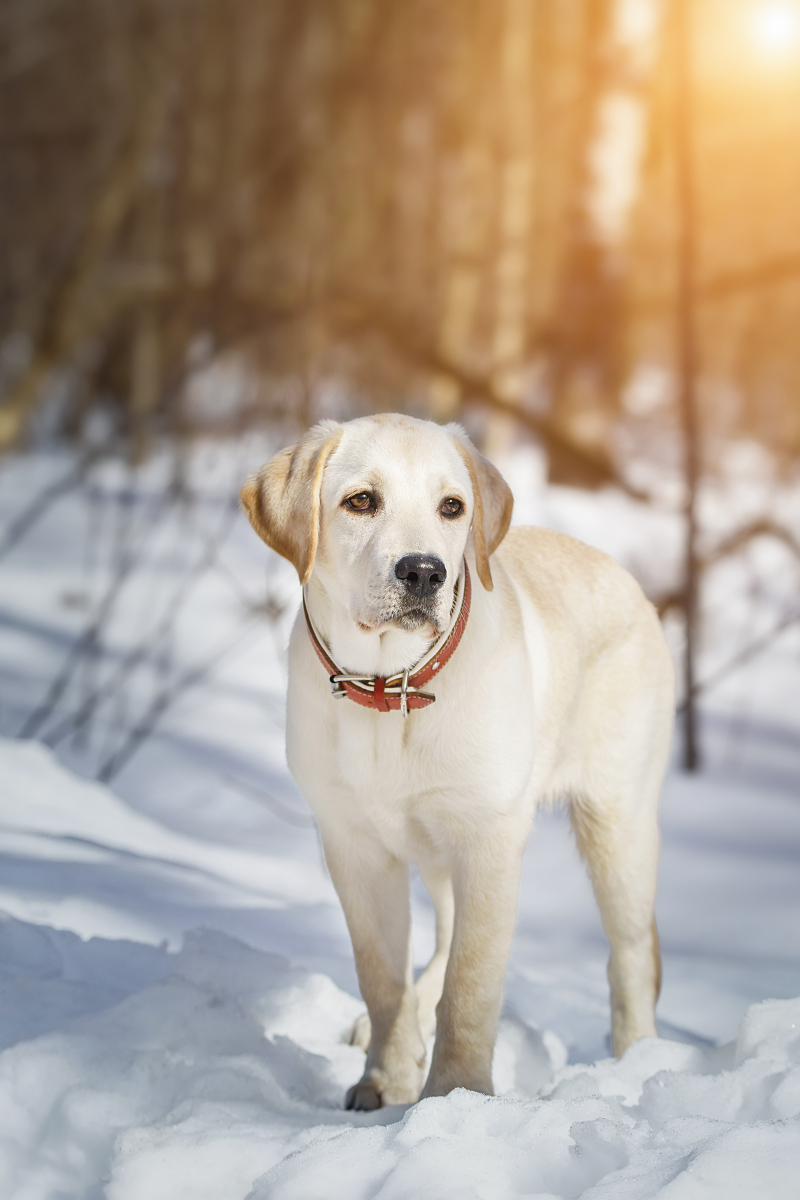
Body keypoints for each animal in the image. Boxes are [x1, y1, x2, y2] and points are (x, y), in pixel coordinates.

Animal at [242, 412, 676, 1104]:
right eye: (360, 501)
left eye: (453, 507)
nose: (424, 572)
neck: (392, 687)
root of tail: (627, 578)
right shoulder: (352, 843)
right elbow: (382, 976)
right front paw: (387, 1082)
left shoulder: (490, 837)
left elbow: (473, 984)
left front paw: (455, 1093)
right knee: (443, 942)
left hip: (618, 822)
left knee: (633, 954)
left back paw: (636, 1062)